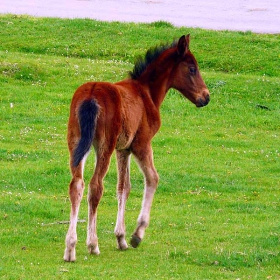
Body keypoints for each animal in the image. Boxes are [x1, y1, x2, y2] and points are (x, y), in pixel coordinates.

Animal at [63, 34, 208, 262]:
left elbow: (124, 187)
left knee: (76, 185)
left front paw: (120, 238)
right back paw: (92, 244)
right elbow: (152, 178)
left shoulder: (123, 149)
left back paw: (70, 248)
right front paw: (136, 235)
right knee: (95, 186)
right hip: (104, 146)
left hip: (77, 142)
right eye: (192, 68)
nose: (206, 97)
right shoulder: (141, 144)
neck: (146, 93)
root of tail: (91, 95)